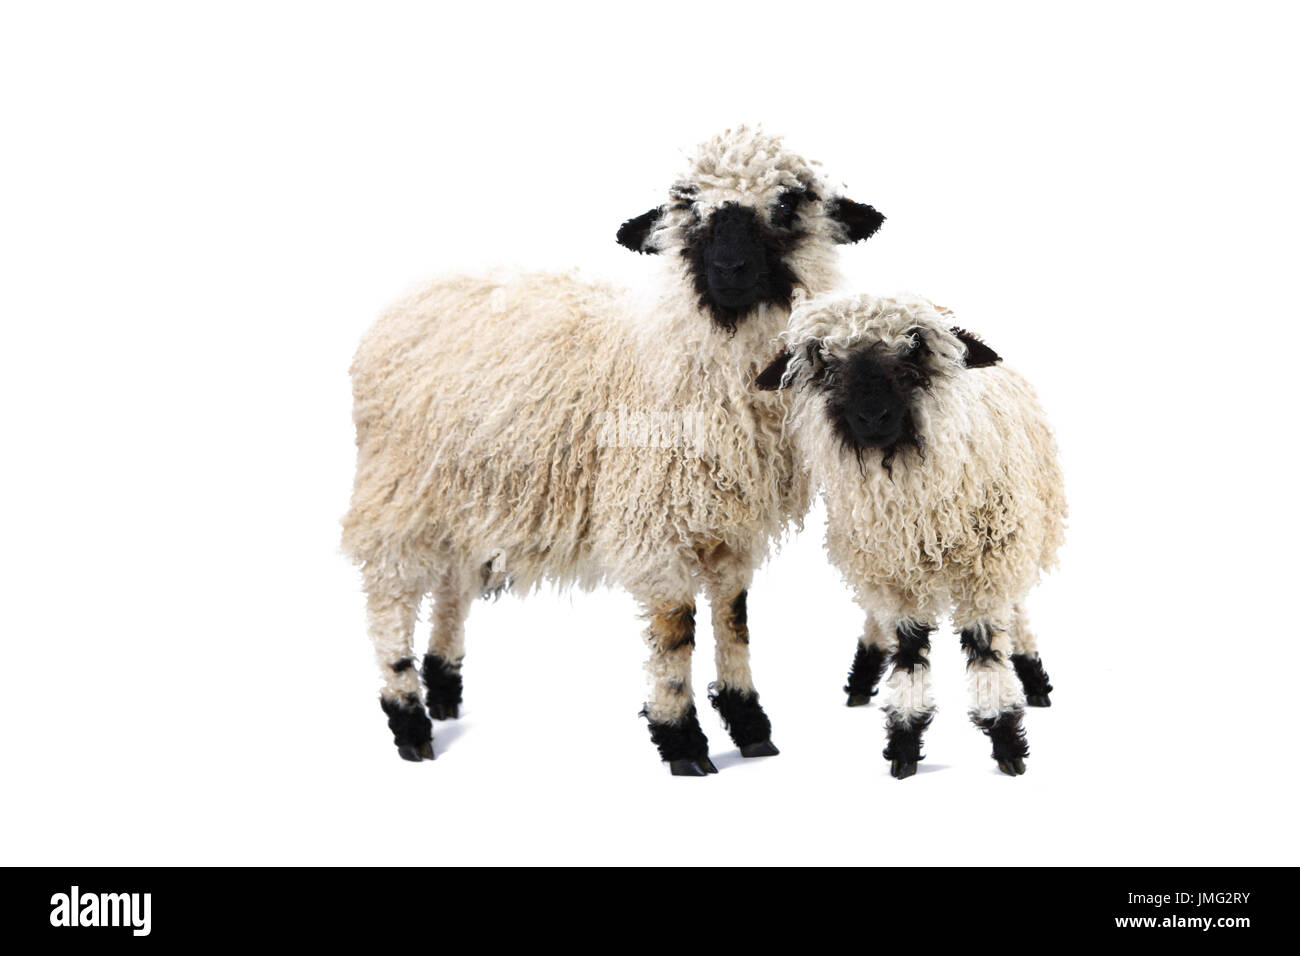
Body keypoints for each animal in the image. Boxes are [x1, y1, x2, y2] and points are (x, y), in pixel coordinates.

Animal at [335, 127, 889, 775]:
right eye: (687, 208)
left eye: (786, 204)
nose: (729, 270)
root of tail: (413, 294)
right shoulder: (656, 521)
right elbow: (675, 631)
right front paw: (683, 740)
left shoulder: (730, 523)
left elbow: (734, 619)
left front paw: (751, 725)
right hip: (398, 490)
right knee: (390, 598)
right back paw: (409, 720)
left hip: (467, 494)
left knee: (450, 586)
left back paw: (444, 691)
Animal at [754, 291, 1066, 780]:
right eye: (822, 357)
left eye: (916, 347)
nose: (872, 415)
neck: (918, 508)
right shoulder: (893, 572)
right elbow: (908, 652)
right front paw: (903, 740)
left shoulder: (987, 567)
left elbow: (987, 650)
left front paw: (1005, 739)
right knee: (873, 614)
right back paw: (863, 676)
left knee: (1016, 609)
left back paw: (1033, 677)